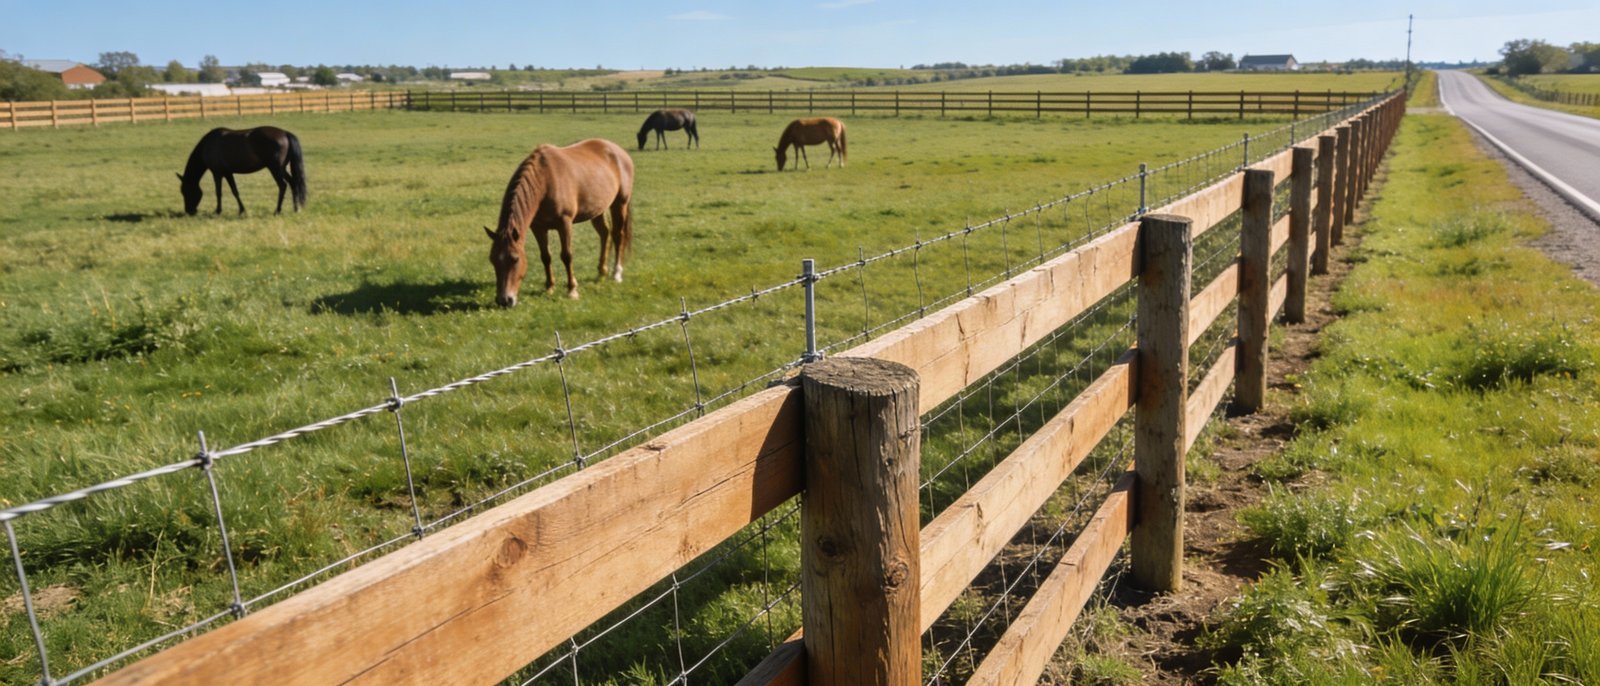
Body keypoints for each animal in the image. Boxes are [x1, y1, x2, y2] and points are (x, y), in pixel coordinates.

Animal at [177, 126, 307, 216]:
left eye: (186, 191)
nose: (189, 211)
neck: (208, 145)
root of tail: (285, 133)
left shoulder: (217, 173)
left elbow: (218, 192)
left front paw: (218, 211)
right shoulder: (228, 173)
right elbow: (235, 191)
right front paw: (241, 210)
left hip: (275, 168)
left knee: (283, 186)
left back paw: (277, 211)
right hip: (282, 169)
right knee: (293, 183)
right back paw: (296, 209)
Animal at [484, 139, 634, 305]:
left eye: (515, 259)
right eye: (492, 260)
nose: (504, 300)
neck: (544, 181)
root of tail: (618, 150)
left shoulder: (565, 223)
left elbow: (567, 256)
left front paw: (572, 290)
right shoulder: (538, 227)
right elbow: (545, 256)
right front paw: (549, 287)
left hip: (620, 203)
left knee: (618, 235)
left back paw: (617, 273)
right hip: (597, 209)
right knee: (605, 234)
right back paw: (602, 272)